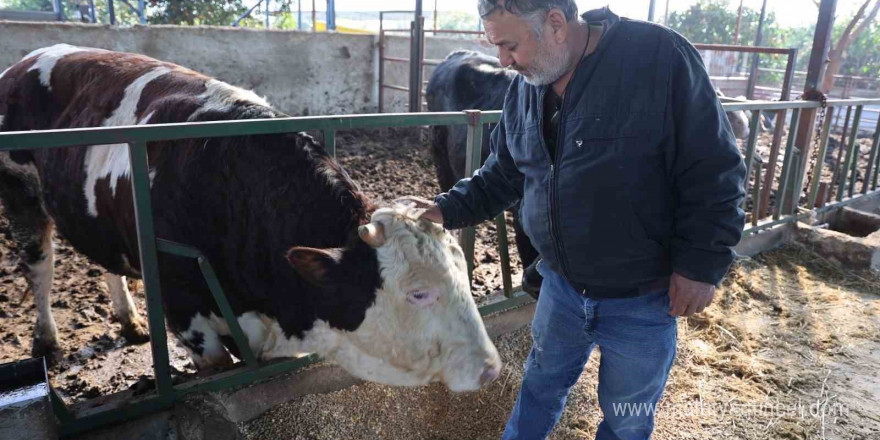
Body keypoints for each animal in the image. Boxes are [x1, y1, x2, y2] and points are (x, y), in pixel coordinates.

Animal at [0, 43, 502, 388]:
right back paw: (47, 342)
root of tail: (28, 59)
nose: (490, 368)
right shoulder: (187, 315)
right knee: (40, 266)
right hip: (21, 193)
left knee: (108, 262)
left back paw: (130, 321)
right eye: (418, 293)